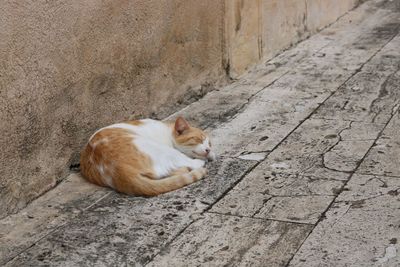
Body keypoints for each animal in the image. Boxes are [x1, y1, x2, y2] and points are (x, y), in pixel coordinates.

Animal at [79, 117, 216, 197]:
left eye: (209, 144)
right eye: (198, 139)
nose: (208, 149)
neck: (167, 130)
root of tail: (119, 170)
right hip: (158, 148)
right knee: (186, 163)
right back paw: (198, 163)